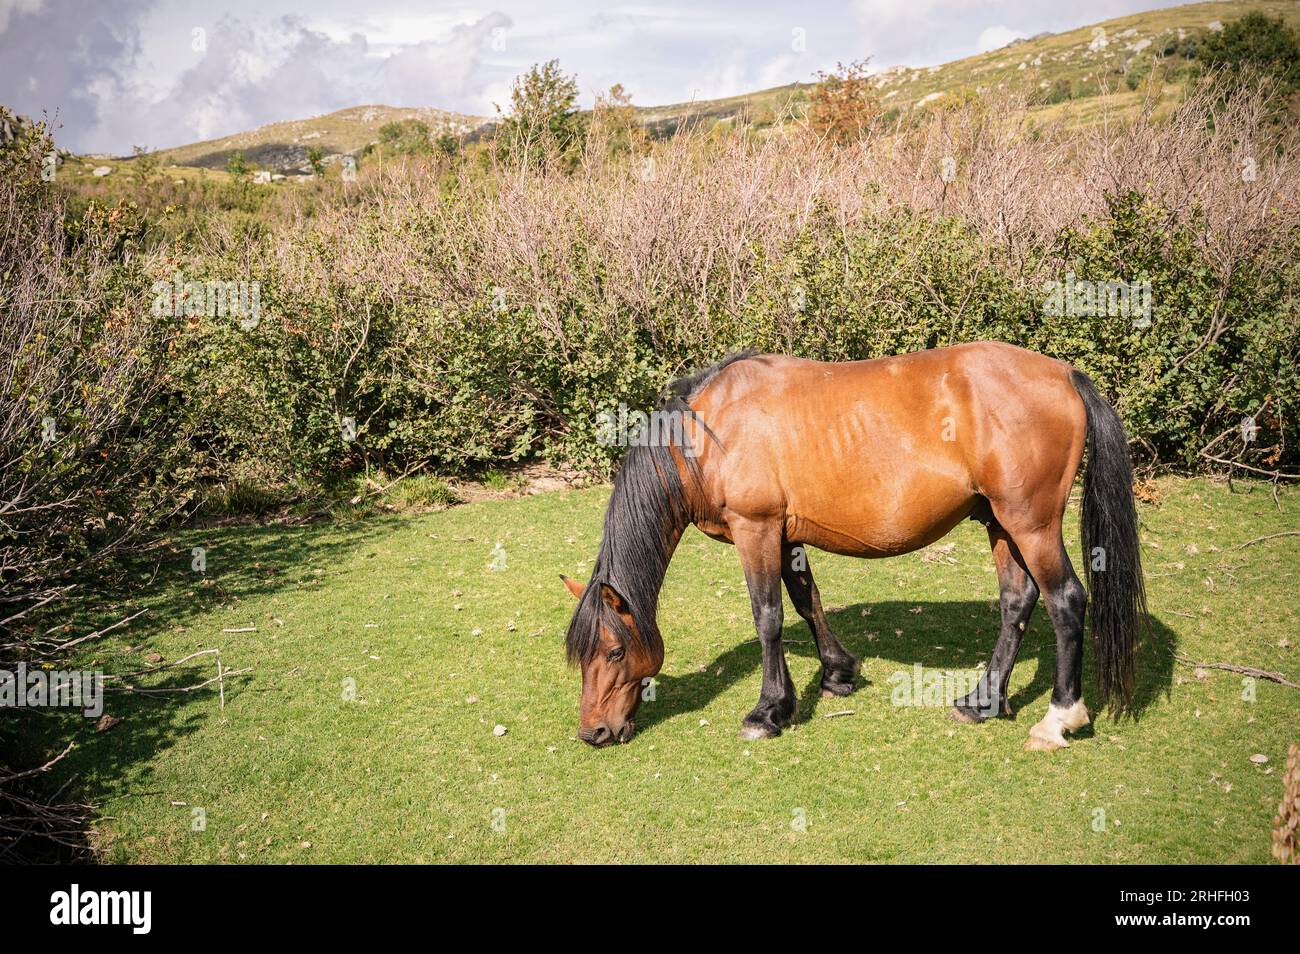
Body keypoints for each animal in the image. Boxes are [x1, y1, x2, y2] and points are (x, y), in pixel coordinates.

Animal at [561, 341, 1146, 752]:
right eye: (583, 656)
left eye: (614, 651)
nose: (593, 733)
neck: (709, 433)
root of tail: (1064, 374)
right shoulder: (786, 534)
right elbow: (806, 602)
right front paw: (834, 674)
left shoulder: (756, 529)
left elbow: (768, 616)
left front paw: (766, 713)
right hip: (1000, 524)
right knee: (1017, 603)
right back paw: (982, 701)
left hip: (1032, 525)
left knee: (1065, 600)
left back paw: (1059, 719)